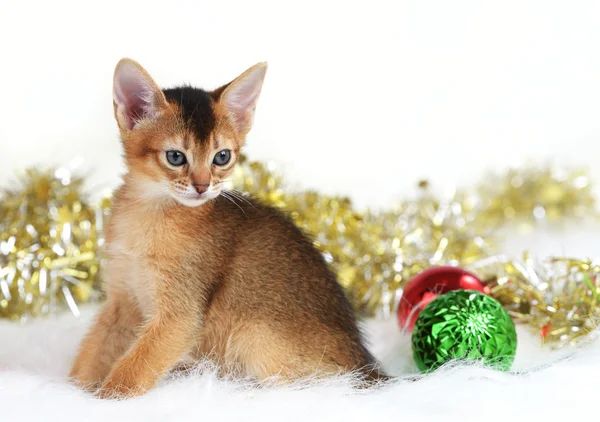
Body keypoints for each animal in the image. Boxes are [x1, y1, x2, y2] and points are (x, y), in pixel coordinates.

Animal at [69, 57, 390, 398]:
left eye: (221, 156)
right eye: (175, 157)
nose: (202, 186)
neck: (147, 214)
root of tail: (366, 368)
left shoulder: (181, 317)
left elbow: (131, 372)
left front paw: (104, 399)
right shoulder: (121, 301)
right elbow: (94, 350)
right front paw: (72, 391)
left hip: (253, 335)